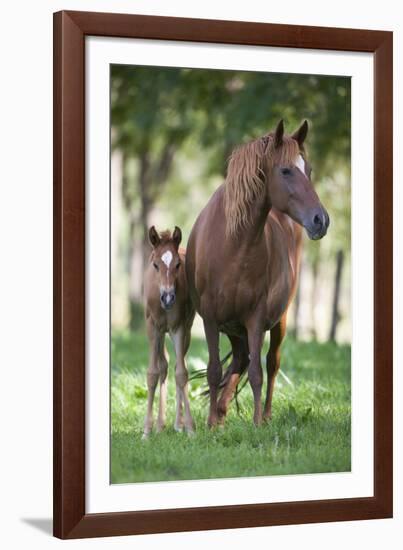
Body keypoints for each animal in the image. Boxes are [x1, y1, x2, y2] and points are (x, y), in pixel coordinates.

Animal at [144, 226, 197, 438]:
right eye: (155, 265)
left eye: (178, 264)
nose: (168, 298)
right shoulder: (152, 327)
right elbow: (153, 373)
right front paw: (146, 431)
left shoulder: (179, 327)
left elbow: (181, 373)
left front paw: (189, 428)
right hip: (159, 333)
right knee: (164, 365)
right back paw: (159, 425)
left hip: (187, 330)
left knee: (176, 365)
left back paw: (176, 424)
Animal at [188, 123, 330, 430]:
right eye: (286, 170)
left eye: (309, 169)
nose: (321, 220)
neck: (233, 245)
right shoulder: (211, 318)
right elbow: (215, 370)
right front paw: (210, 424)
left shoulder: (255, 319)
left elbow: (256, 373)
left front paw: (255, 424)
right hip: (233, 327)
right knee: (239, 360)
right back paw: (220, 413)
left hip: (278, 321)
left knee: (270, 363)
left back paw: (263, 415)